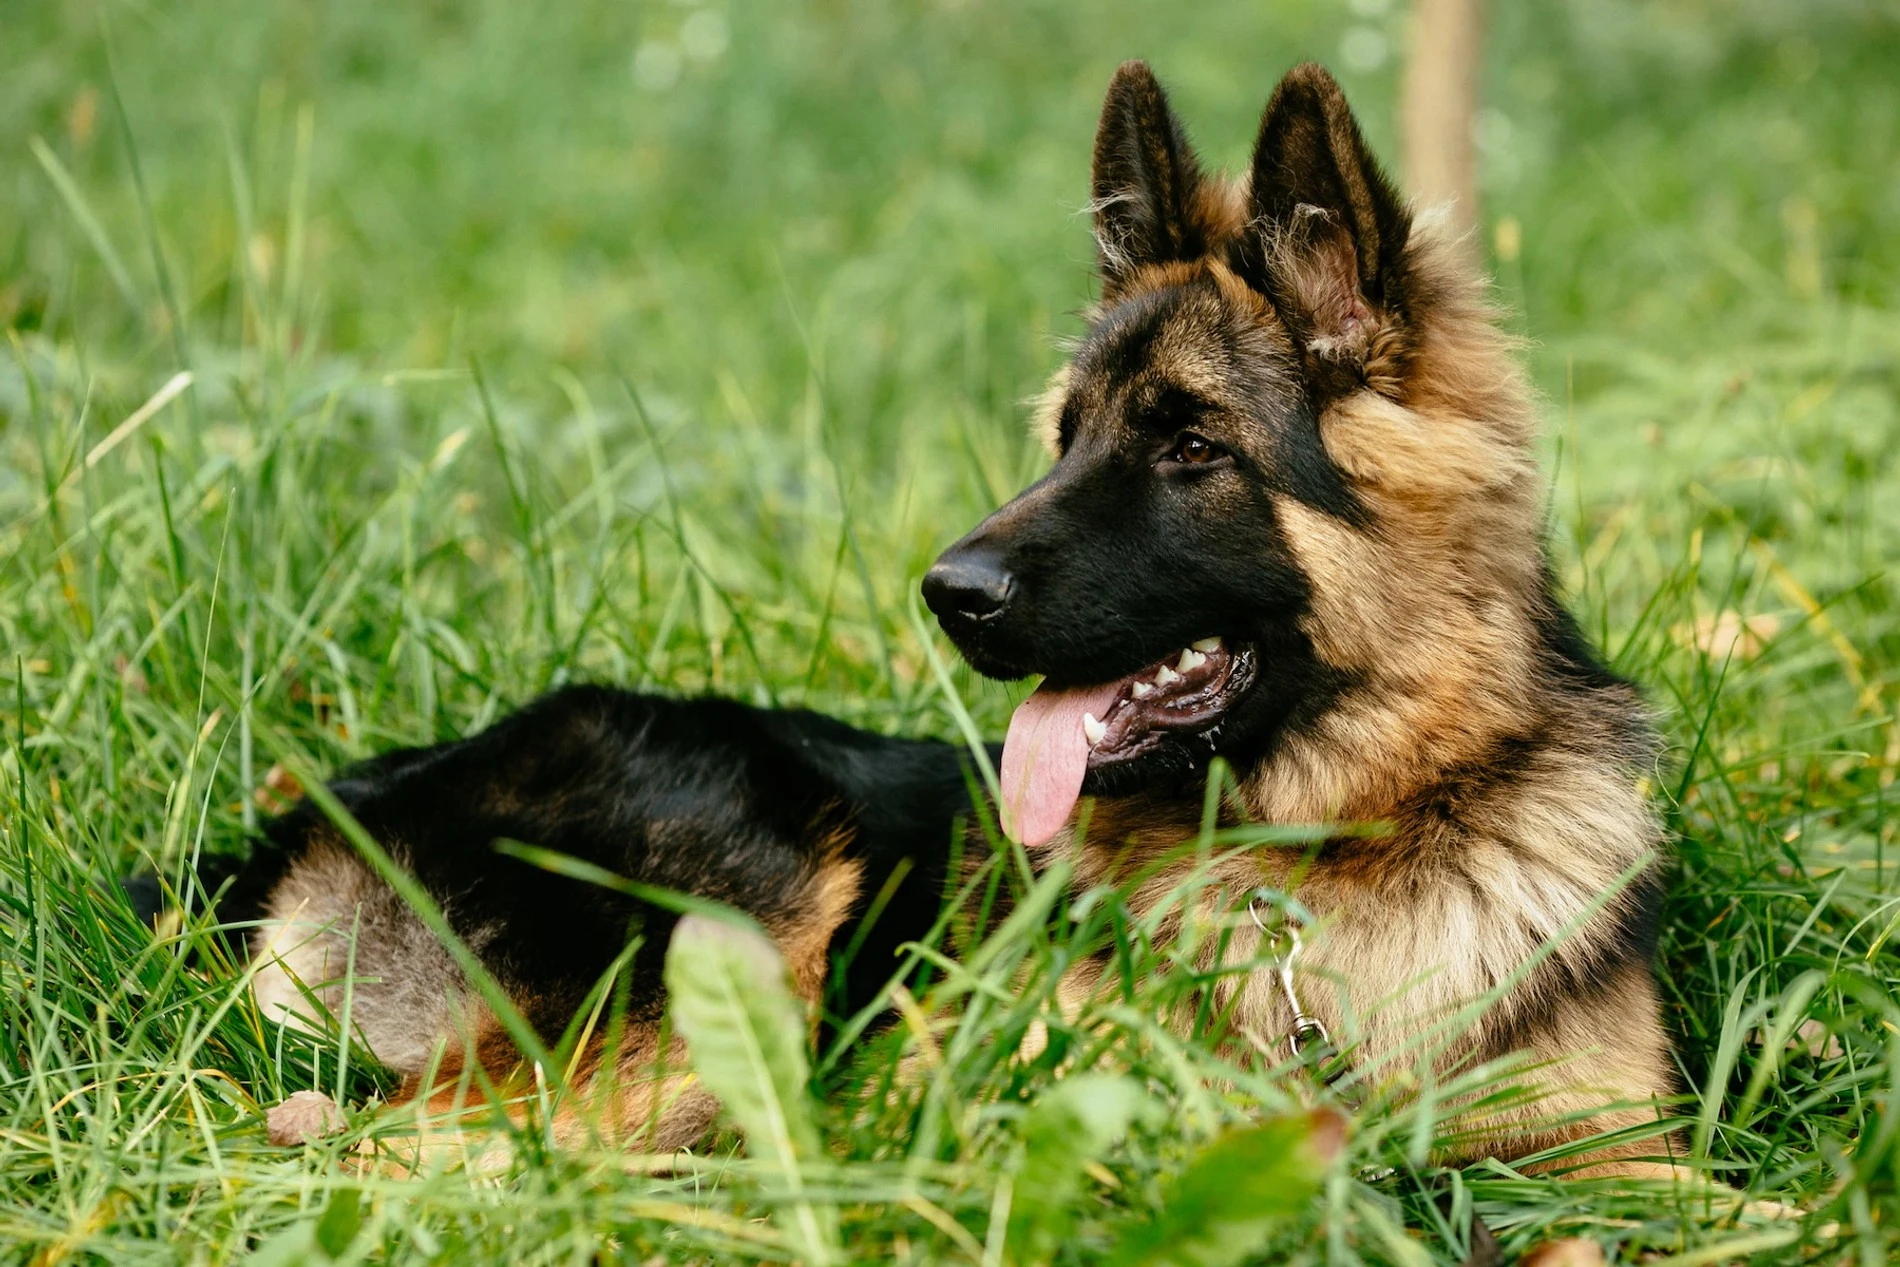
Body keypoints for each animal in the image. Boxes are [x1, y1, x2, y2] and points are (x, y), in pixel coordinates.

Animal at [200, 66, 1672, 1177]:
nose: (947, 592)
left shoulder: (1626, 1157)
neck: (1326, 851)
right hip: (737, 930)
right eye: (1066, 438)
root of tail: (322, 812)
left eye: (1191, 444)